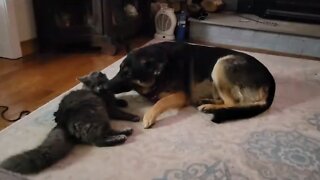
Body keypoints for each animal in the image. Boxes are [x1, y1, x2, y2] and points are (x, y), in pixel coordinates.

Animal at [0, 71, 139, 174]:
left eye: (100, 81)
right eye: (95, 84)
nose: (100, 89)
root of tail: (62, 124)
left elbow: (117, 101)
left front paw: (122, 102)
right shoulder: (109, 109)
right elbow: (121, 113)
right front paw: (134, 116)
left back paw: (124, 132)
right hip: (98, 116)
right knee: (98, 141)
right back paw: (122, 135)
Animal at [107, 41, 276, 128]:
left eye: (128, 74)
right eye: (120, 69)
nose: (105, 87)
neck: (162, 70)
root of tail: (271, 81)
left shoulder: (181, 95)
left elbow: (161, 102)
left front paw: (149, 116)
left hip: (221, 64)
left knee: (233, 103)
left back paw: (209, 107)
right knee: (226, 101)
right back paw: (206, 102)